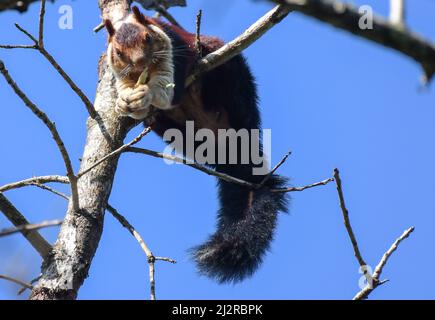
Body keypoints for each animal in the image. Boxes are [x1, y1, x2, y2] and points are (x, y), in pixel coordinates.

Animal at [104, 6, 290, 282]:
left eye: (148, 38)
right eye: (117, 52)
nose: (140, 62)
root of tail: (227, 145)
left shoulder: (174, 50)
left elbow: (168, 90)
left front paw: (145, 94)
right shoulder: (121, 75)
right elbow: (125, 89)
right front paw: (123, 102)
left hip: (233, 81)